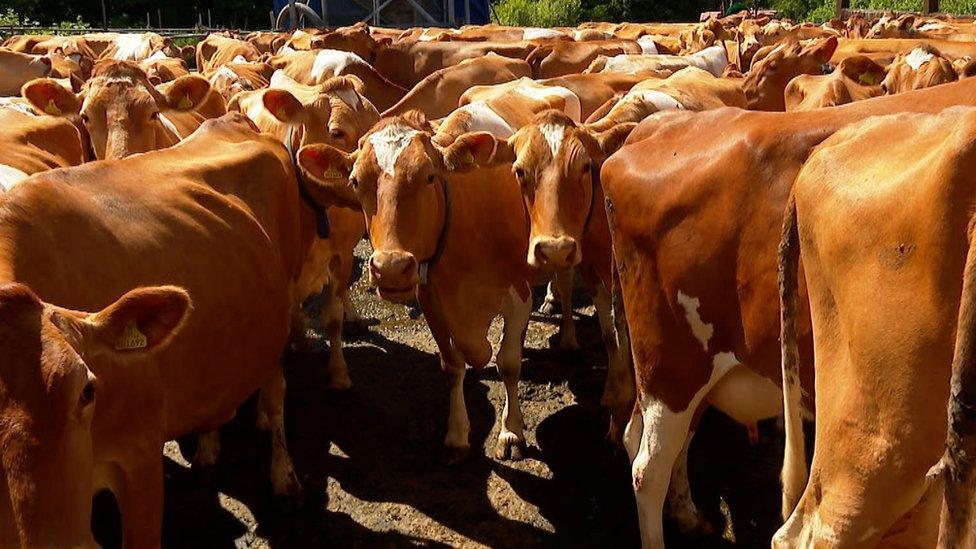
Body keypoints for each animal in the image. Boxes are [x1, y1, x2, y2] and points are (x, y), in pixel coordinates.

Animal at [298, 113, 536, 464]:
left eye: (429, 176)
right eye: (355, 181)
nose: (391, 268)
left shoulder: (520, 293)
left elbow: (508, 362)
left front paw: (511, 431)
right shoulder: (431, 299)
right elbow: (452, 366)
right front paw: (457, 436)